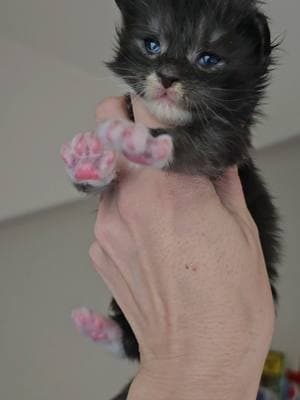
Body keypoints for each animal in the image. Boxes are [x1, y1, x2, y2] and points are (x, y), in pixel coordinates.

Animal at [63, 1, 282, 398]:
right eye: (152, 45)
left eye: (208, 59)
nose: (165, 77)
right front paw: (89, 167)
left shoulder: (226, 140)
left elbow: (193, 144)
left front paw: (145, 142)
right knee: (131, 343)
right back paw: (100, 328)